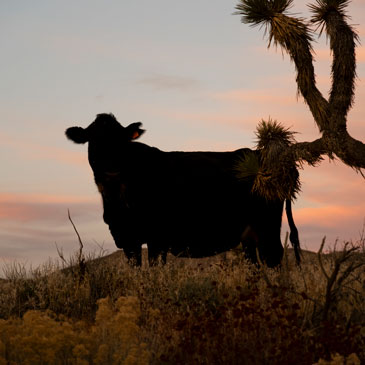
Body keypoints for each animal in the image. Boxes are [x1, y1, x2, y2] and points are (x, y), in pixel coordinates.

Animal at [65, 114, 298, 268]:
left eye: (122, 140)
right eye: (93, 139)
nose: (110, 168)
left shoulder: (157, 236)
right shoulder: (126, 236)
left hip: (267, 226)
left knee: (273, 258)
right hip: (249, 235)